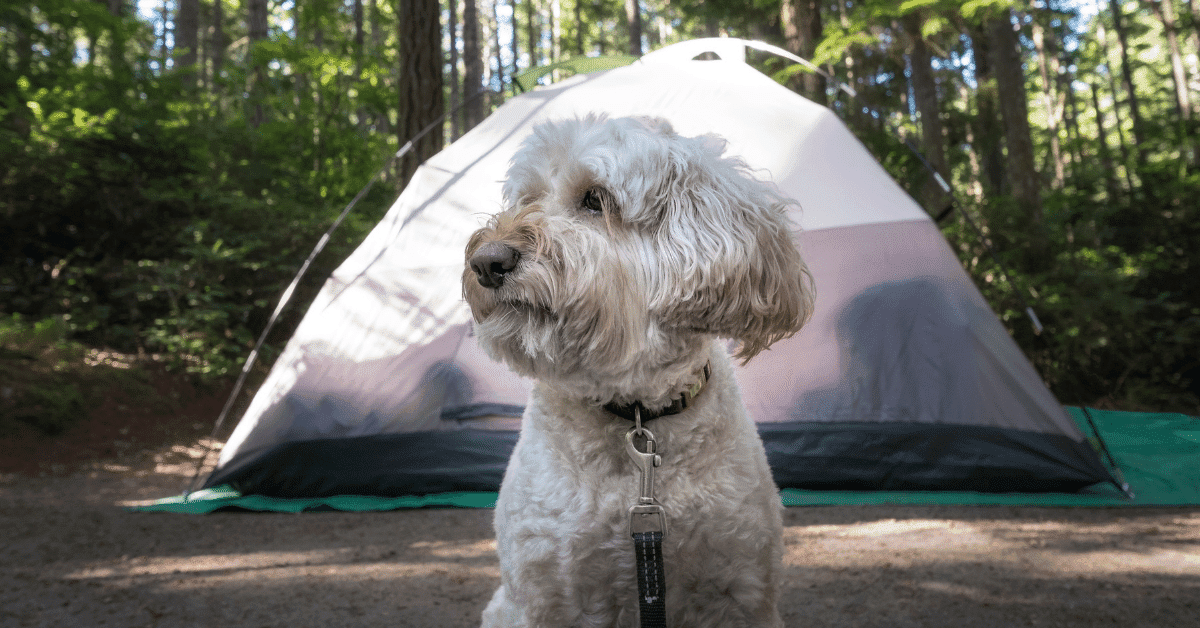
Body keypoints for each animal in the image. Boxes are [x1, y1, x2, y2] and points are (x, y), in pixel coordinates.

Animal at [460, 115, 816, 624]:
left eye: (595, 199)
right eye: (526, 198)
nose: (486, 261)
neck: (636, 414)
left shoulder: (741, 591)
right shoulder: (545, 597)